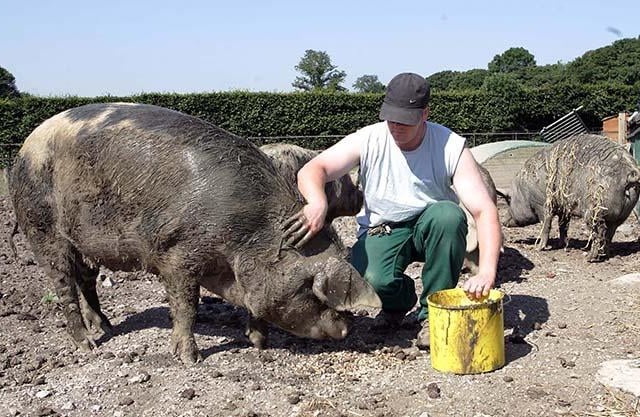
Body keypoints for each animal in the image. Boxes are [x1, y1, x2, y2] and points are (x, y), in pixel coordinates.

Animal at [8, 102, 381, 363]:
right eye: (310, 288)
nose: (346, 328)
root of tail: (24, 148)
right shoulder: (176, 255)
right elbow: (188, 306)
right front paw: (191, 359)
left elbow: (251, 304)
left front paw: (259, 344)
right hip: (42, 227)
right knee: (63, 285)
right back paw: (86, 346)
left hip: (85, 241)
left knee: (86, 279)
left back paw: (108, 328)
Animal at [502, 134, 640, 262]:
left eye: (509, 200)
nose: (503, 221)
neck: (524, 191)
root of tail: (629, 172)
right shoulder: (564, 209)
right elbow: (563, 226)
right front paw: (561, 245)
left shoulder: (542, 204)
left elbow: (546, 225)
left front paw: (538, 248)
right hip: (622, 215)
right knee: (610, 232)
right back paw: (605, 255)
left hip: (595, 209)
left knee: (599, 231)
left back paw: (589, 258)